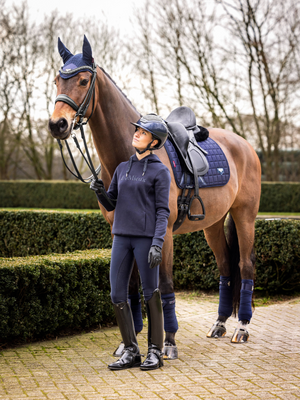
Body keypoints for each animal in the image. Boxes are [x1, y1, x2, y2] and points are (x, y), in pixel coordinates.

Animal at [48, 36, 260, 358]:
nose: (57, 124)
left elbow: (166, 286)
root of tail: (245, 145)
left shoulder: (165, 236)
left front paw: (168, 342)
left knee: (245, 266)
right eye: (58, 80)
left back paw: (242, 328)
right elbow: (130, 287)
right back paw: (220, 324)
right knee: (225, 267)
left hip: (245, 216)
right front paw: (130, 341)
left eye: (83, 80)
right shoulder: (122, 233)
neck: (131, 158)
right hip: (213, 224)